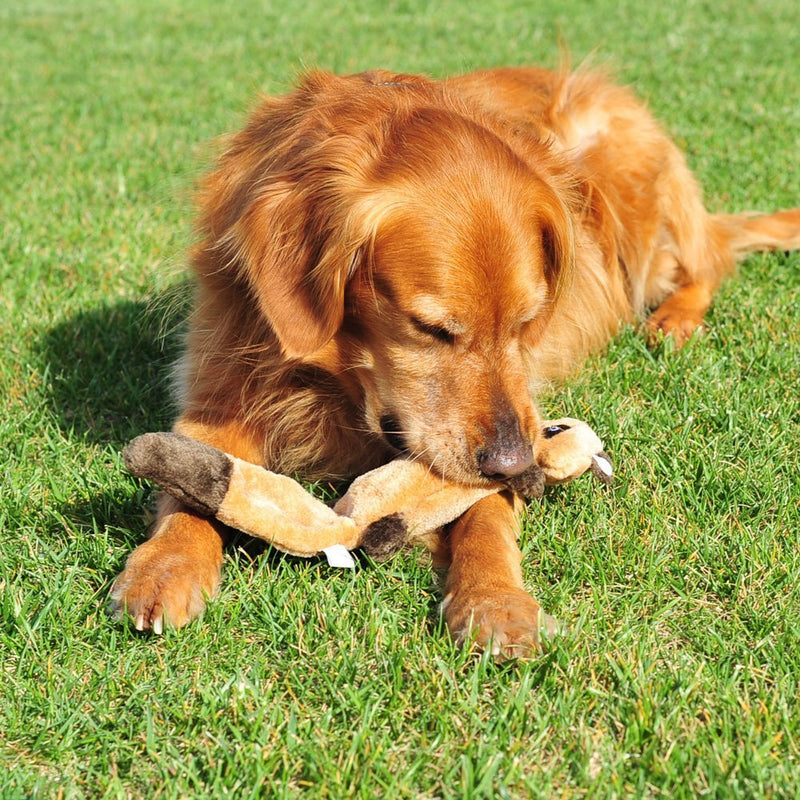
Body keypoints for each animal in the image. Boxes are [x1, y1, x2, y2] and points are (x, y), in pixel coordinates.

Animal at [111, 67, 800, 656]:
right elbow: (188, 486)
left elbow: (485, 516)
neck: (335, 382)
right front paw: (165, 565)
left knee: (707, 261)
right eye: (431, 328)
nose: (514, 464)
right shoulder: (220, 385)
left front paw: (496, 598)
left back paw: (675, 319)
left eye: (527, 322)